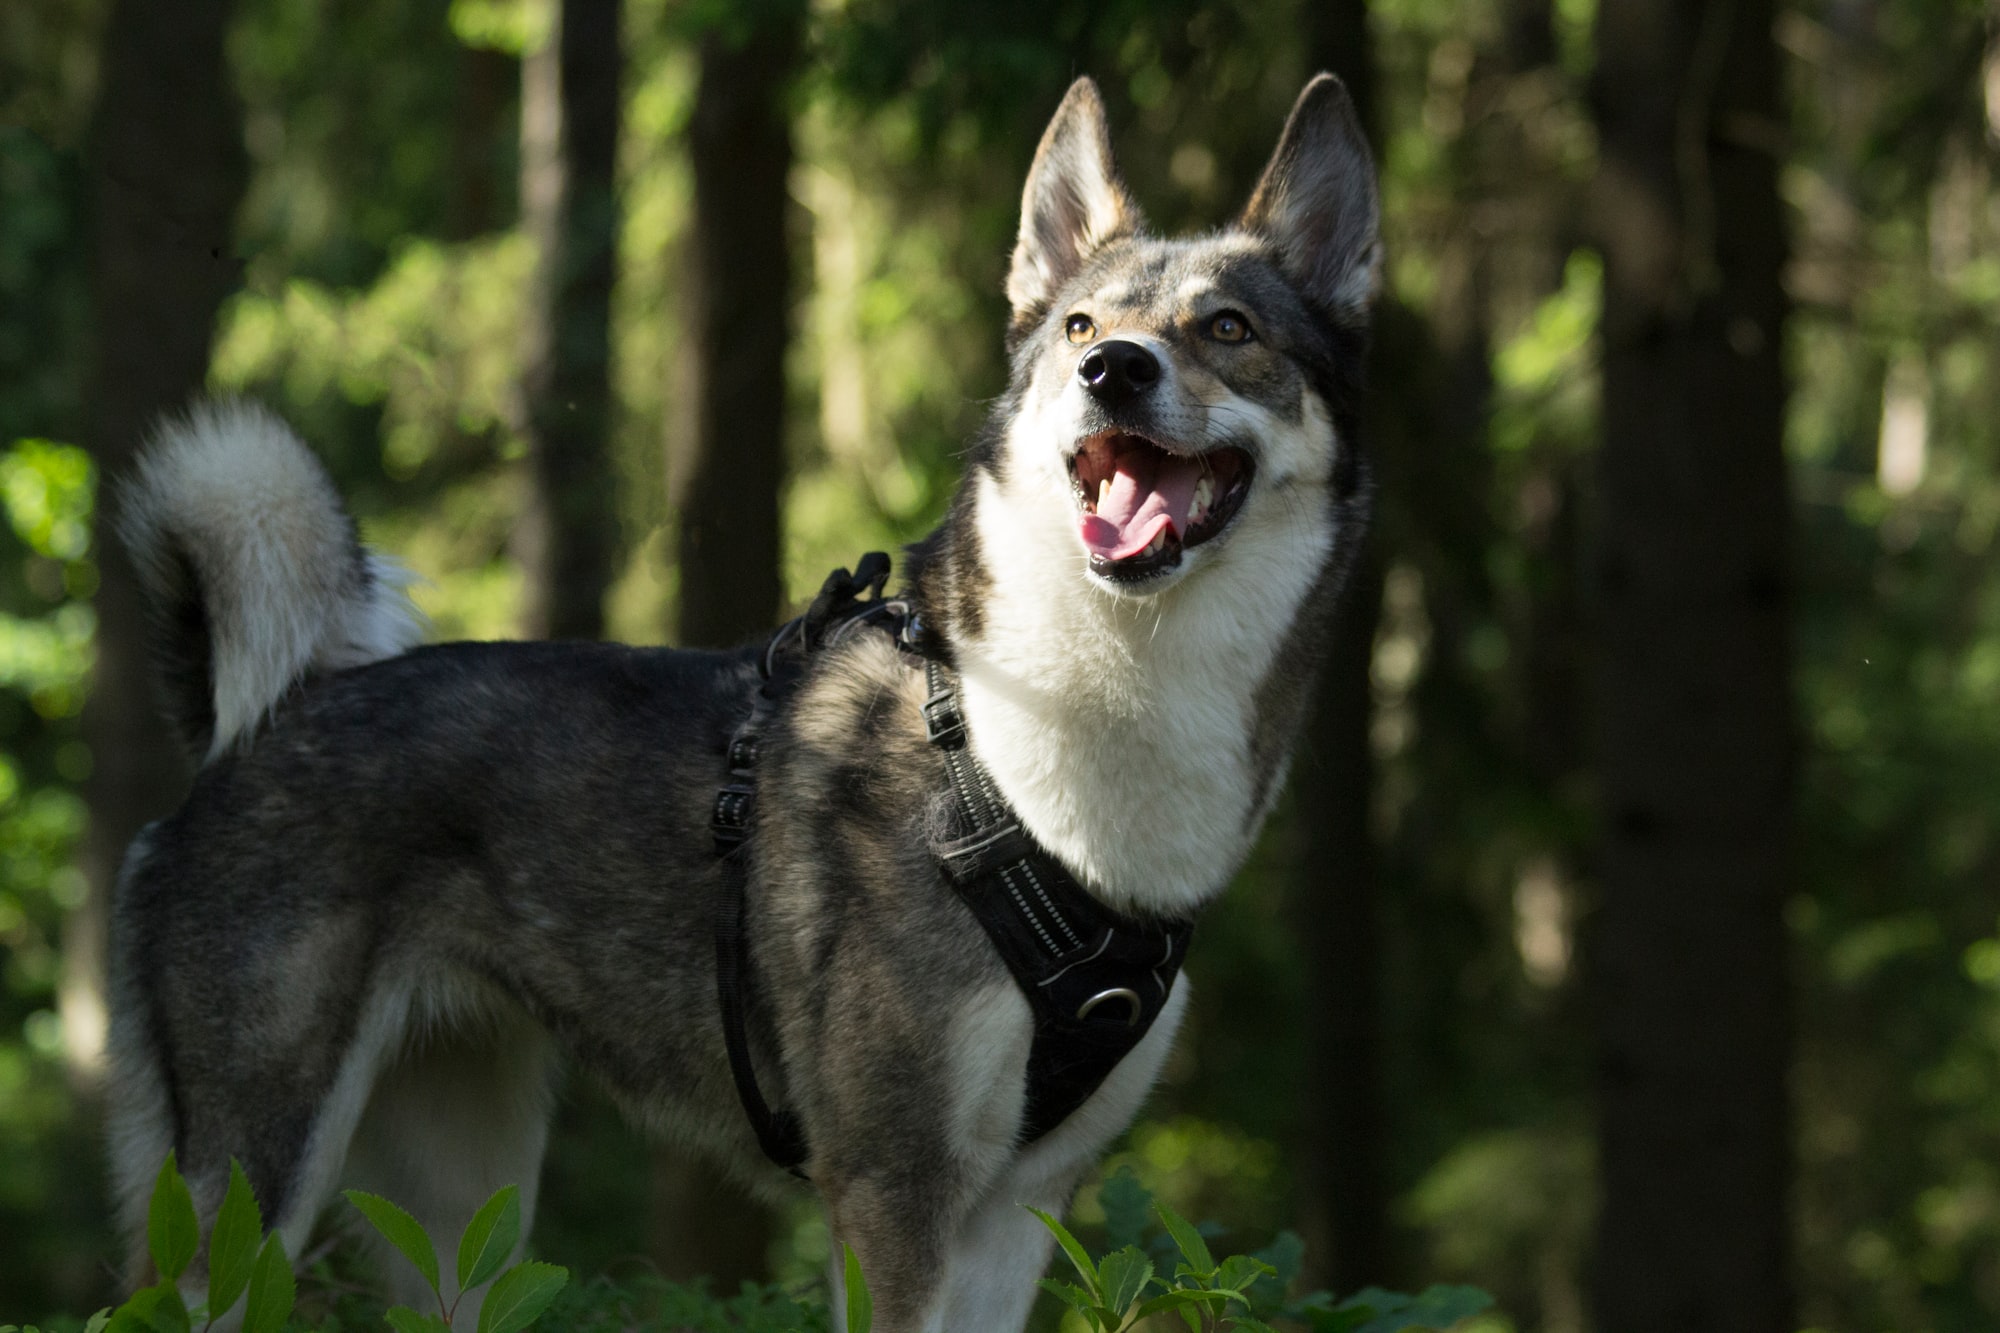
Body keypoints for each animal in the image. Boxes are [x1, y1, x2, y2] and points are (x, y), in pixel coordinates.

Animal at [109, 75, 1384, 1328]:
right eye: (1079, 326)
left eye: (1227, 329)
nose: (1110, 369)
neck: (1023, 757)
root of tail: (252, 732)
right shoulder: (890, 1195)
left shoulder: (1020, 1211)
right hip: (246, 1199)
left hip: (461, 1217)